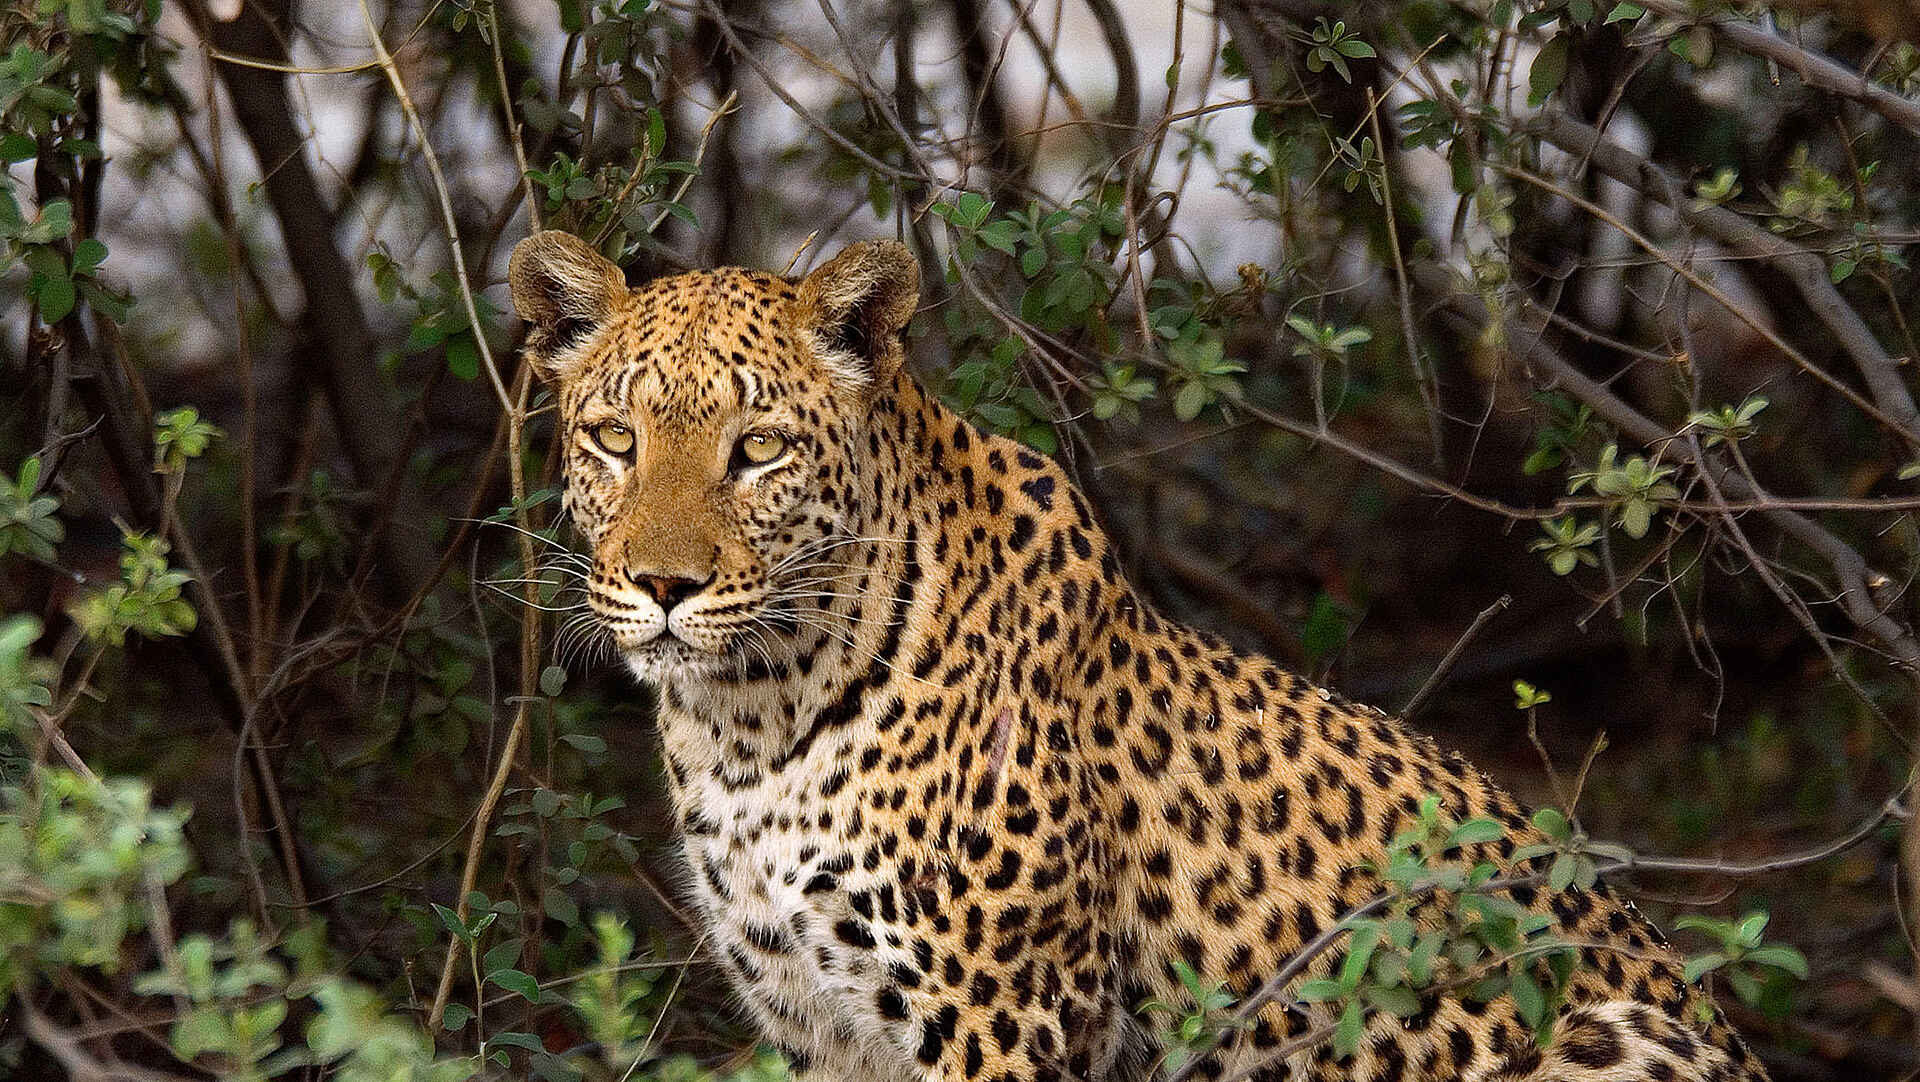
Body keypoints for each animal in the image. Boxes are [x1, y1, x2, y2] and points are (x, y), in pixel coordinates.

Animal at [507, 228, 1770, 1082]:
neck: (751, 714)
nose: (666, 588)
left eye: (760, 448)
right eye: (615, 437)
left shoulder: (1005, 1013)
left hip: (1614, 1028)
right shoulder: (814, 1021)